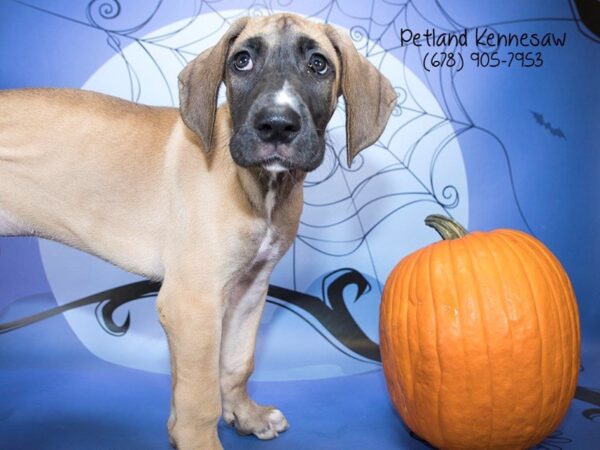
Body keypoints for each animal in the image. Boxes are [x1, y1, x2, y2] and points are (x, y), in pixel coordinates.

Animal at [0, 12, 398, 448]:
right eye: (241, 61)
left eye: (318, 65)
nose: (276, 126)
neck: (258, 186)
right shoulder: (193, 302)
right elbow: (200, 393)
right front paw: (198, 439)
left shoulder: (247, 291)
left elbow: (236, 363)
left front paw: (245, 416)